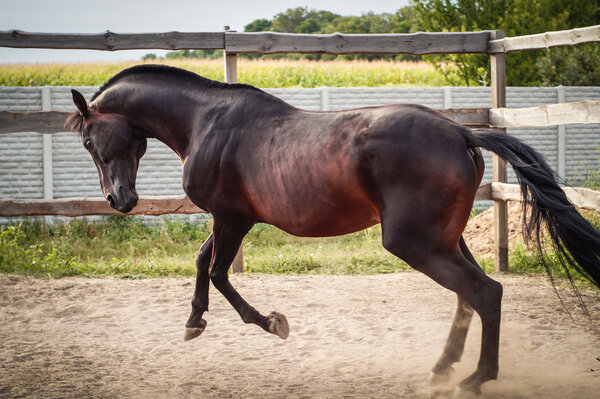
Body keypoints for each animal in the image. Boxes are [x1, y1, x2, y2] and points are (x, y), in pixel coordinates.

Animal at [65, 65, 600, 396]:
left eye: (89, 140)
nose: (120, 201)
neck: (205, 122)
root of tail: (461, 132)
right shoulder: (228, 218)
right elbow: (203, 262)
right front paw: (194, 321)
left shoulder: (232, 218)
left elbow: (218, 273)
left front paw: (272, 323)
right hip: (447, 240)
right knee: (469, 295)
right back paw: (442, 368)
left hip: (416, 243)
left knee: (486, 292)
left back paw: (474, 379)